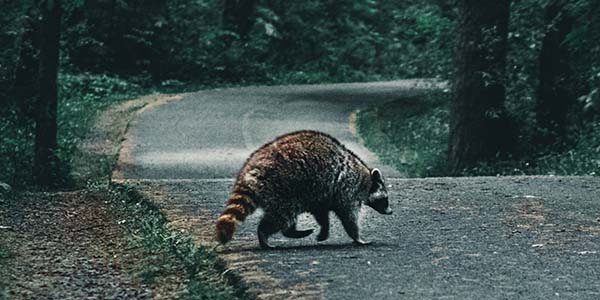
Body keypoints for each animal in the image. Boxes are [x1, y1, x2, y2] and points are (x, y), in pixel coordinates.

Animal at [216, 129, 394, 248]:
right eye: (385, 199)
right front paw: (357, 237)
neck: (366, 178)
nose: (390, 211)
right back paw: (264, 233)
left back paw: (291, 232)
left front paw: (324, 230)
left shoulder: (323, 192)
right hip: (283, 188)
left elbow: (321, 212)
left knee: (285, 217)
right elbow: (348, 216)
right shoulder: (348, 188)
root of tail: (253, 168)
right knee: (281, 217)